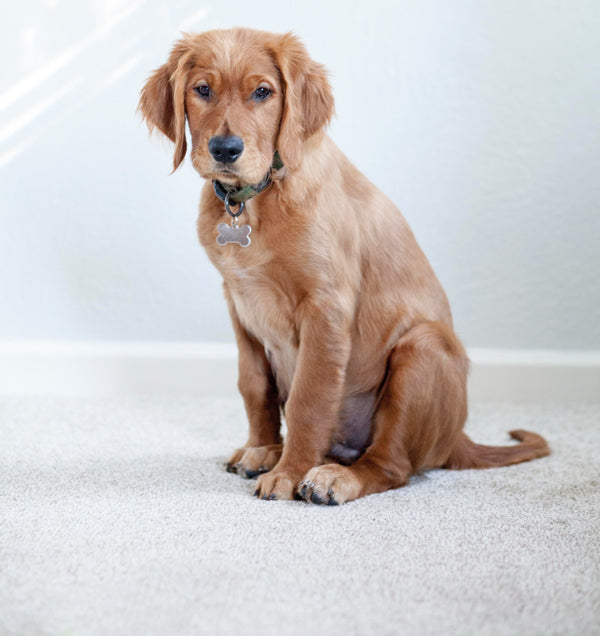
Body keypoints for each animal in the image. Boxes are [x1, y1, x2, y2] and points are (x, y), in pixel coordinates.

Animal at [138, 27, 552, 504]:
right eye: (202, 90)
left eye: (263, 92)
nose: (225, 149)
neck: (259, 196)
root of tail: (456, 438)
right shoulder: (238, 302)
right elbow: (254, 385)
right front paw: (263, 449)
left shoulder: (326, 306)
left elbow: (308, 397)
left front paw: (287, 472)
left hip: (421, 348)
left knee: (392, 465)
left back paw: (335, 478)